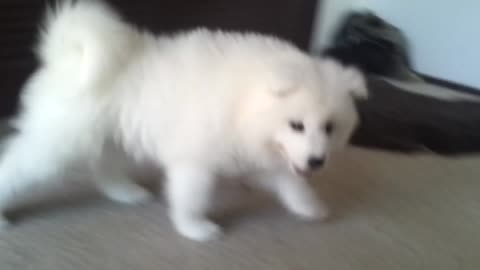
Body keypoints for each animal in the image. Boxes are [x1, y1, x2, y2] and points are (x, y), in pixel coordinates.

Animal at [0, 0, 366, 240]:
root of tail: (66, 55)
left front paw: (308, 205)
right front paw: (195, 229)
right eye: (296, 125)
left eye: (330, 128)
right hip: (59, 140)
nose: (317, 161)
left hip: (115, 135)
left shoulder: (261, 155)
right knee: (19, 166)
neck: (244, 103)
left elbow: (289, 181)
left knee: (104, 166)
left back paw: (125, 192)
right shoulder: (196, 161)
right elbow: (192, 197)